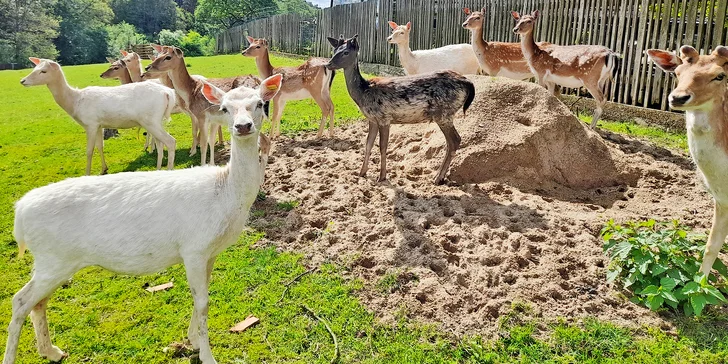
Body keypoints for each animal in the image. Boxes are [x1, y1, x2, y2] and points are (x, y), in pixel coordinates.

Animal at [326, 35, 474, 185]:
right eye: (335, 50)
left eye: (345, 52)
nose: (328, 64)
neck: (363, 92)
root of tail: (468, 83)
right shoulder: (372, 119)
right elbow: (368, 144)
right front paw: (362, 173)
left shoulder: (384, 117)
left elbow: (383, 146)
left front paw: (382, 177)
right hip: (445, 114)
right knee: (451, 142)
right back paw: (439, 176)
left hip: (444, 113)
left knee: (455, 140)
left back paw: (437, 178)